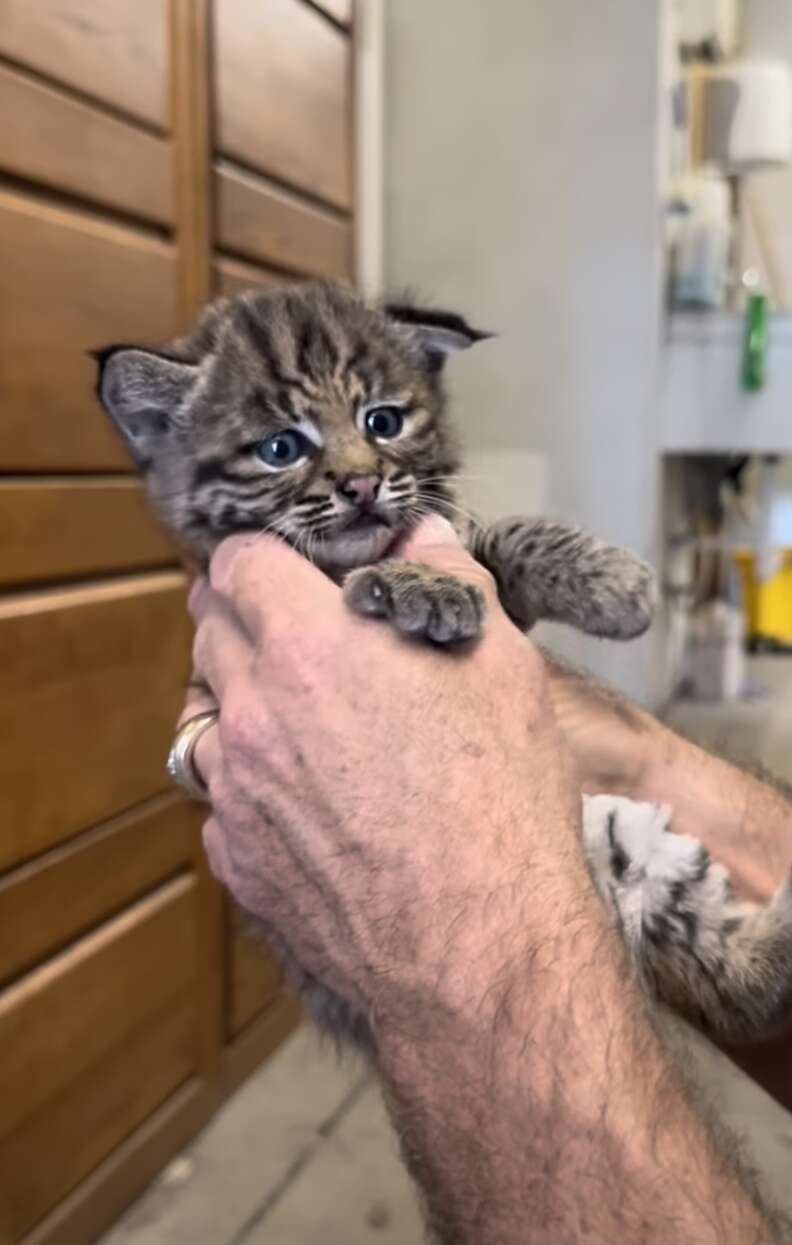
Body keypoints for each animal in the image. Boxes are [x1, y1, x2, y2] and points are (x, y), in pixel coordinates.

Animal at [97, 280, 792, 1050]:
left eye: (383, 421)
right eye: (281, 448)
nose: (362, 486)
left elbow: (502, 537)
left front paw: (615, 583)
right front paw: (417, 587)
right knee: (740, 983)